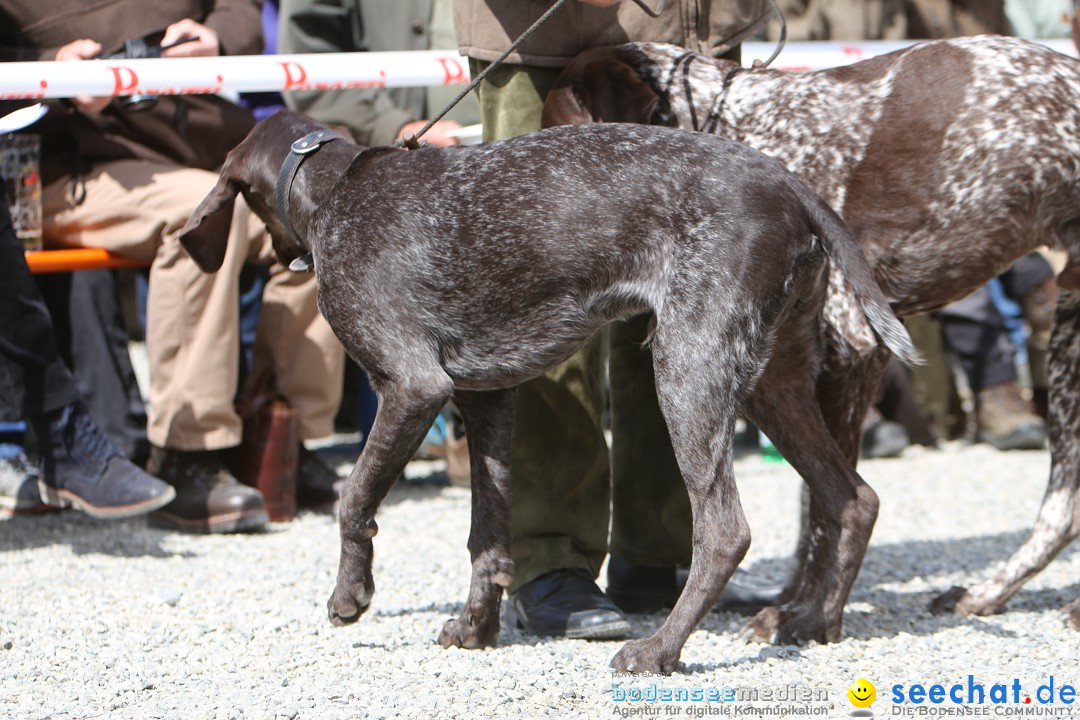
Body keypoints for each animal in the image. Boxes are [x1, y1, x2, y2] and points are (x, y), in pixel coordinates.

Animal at [544, 35, 1080, 630]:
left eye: (554, 135)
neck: (735, 125)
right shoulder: (790, 370)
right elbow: (816, 500)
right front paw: (796, 601)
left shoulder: (849, 350)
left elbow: (831, 508)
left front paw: (813, 617)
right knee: (1064, 511)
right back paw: (987, 595)